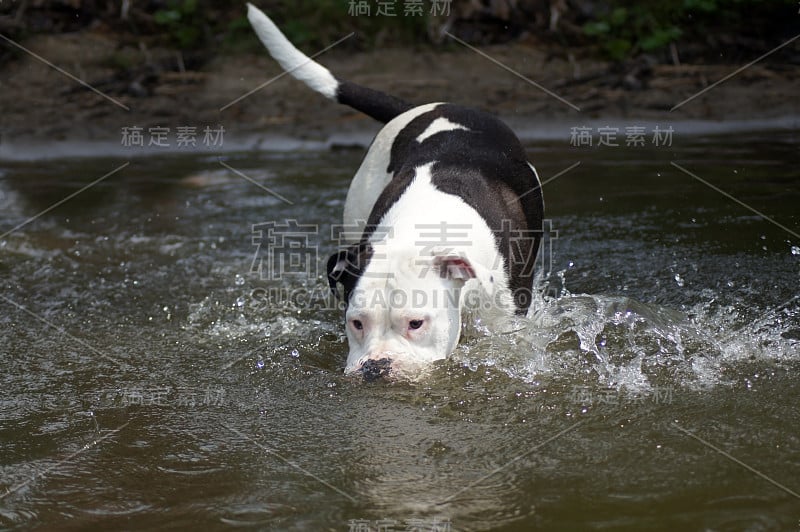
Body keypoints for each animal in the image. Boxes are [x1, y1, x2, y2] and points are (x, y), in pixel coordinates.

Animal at [248, 3, 544, 378]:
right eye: (357, 323)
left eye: (416, 323)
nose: (377, 366)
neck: (420, 225)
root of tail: (418, 107)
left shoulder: (505, 322)